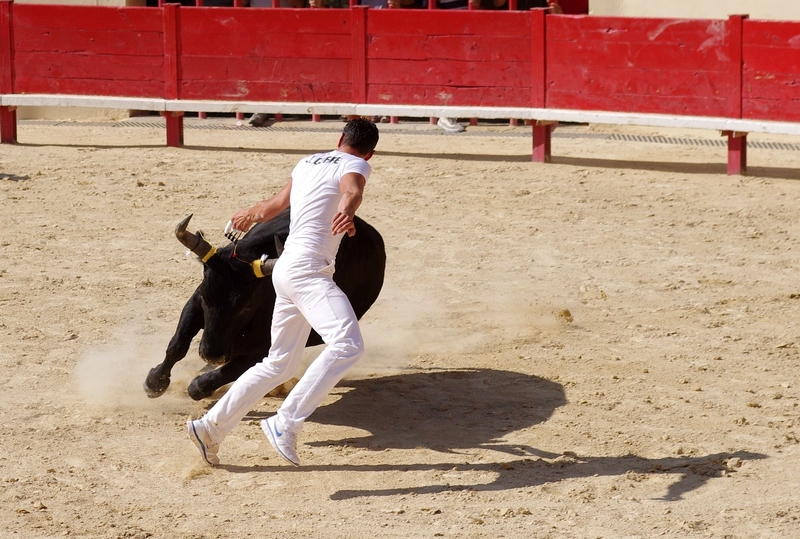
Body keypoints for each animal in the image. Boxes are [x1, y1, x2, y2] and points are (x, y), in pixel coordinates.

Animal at [148, 209, 390, 402]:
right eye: (207, 301)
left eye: (245, 307)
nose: (211, 355)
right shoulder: (195, 301)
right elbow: (177, 344)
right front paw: (155, 382)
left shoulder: (263, 348)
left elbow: (225, 373)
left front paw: (198, 386)